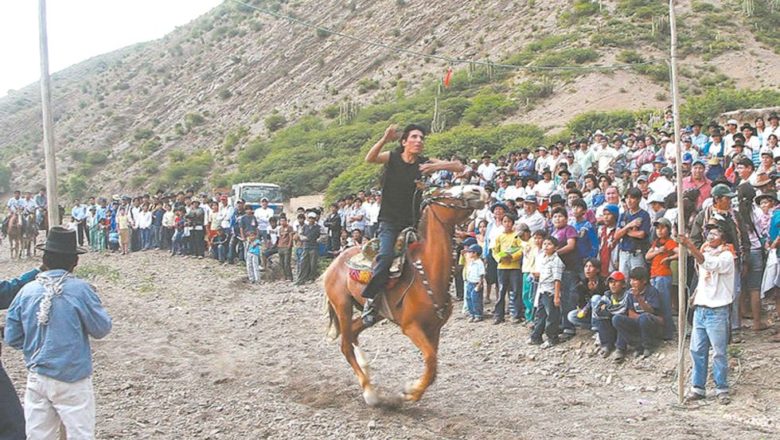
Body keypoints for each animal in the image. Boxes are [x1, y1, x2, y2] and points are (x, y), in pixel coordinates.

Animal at [320, 183, 484, 406]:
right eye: (446, 192)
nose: (478, 190)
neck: (428, 271)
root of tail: (334, 264)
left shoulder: (434, 329)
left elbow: (432, 365)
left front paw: (412, 391)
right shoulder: (411, 327)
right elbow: (431, 360)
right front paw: (409, 392)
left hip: (374, 314)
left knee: (353, 332)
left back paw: (367, 373)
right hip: (342, 306)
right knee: (345, 345)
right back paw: (369, 391)